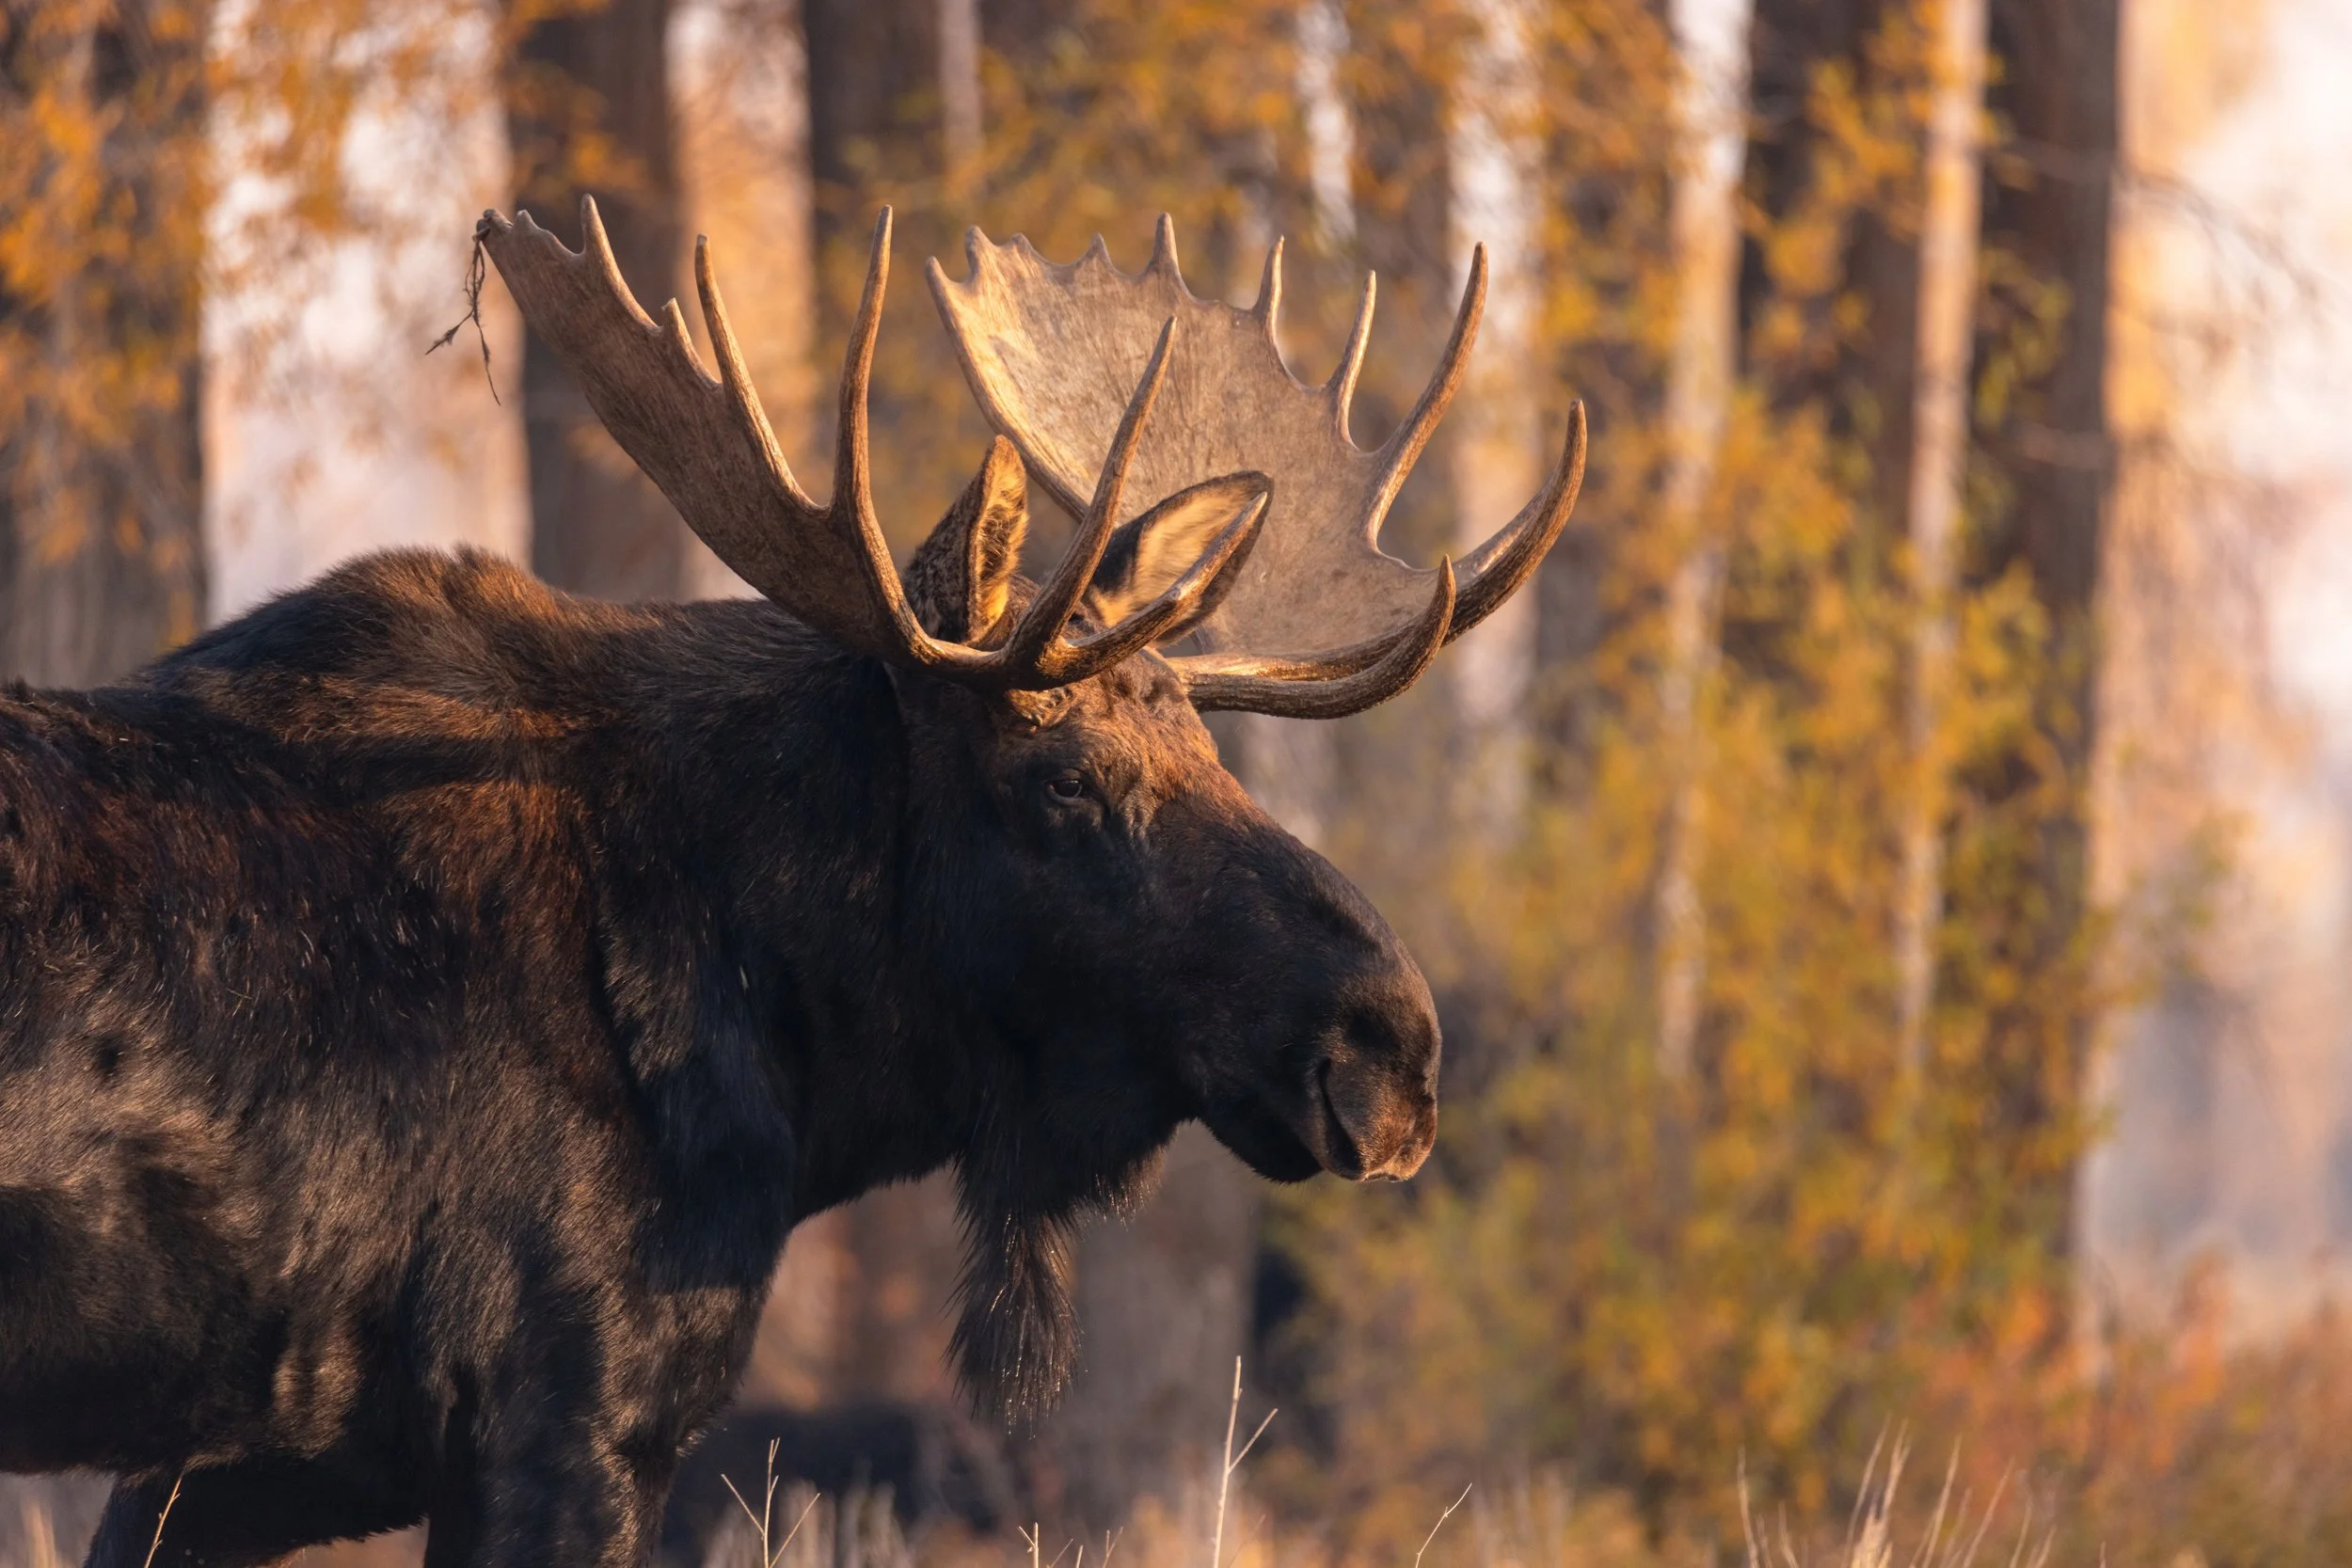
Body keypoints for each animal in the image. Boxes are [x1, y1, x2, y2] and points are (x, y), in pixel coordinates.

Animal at [0, 199, 1583, 1567]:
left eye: (1207, 746)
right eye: (1063, 777)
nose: (1393, 1044)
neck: (795, 1057)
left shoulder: (243, 1459)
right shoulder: (565, 1416)